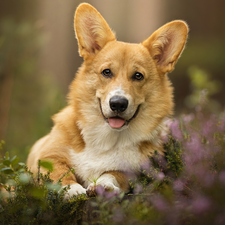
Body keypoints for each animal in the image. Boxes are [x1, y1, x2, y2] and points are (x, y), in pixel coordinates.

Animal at [25, 2, 188, 198]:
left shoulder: (132, 172)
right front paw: (72, 189)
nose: (118, 104)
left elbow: (113, 173)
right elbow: (60, 173)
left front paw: (104, 185)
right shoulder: (47, 157)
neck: (106, 138)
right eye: (107, 72)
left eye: (138, 76)